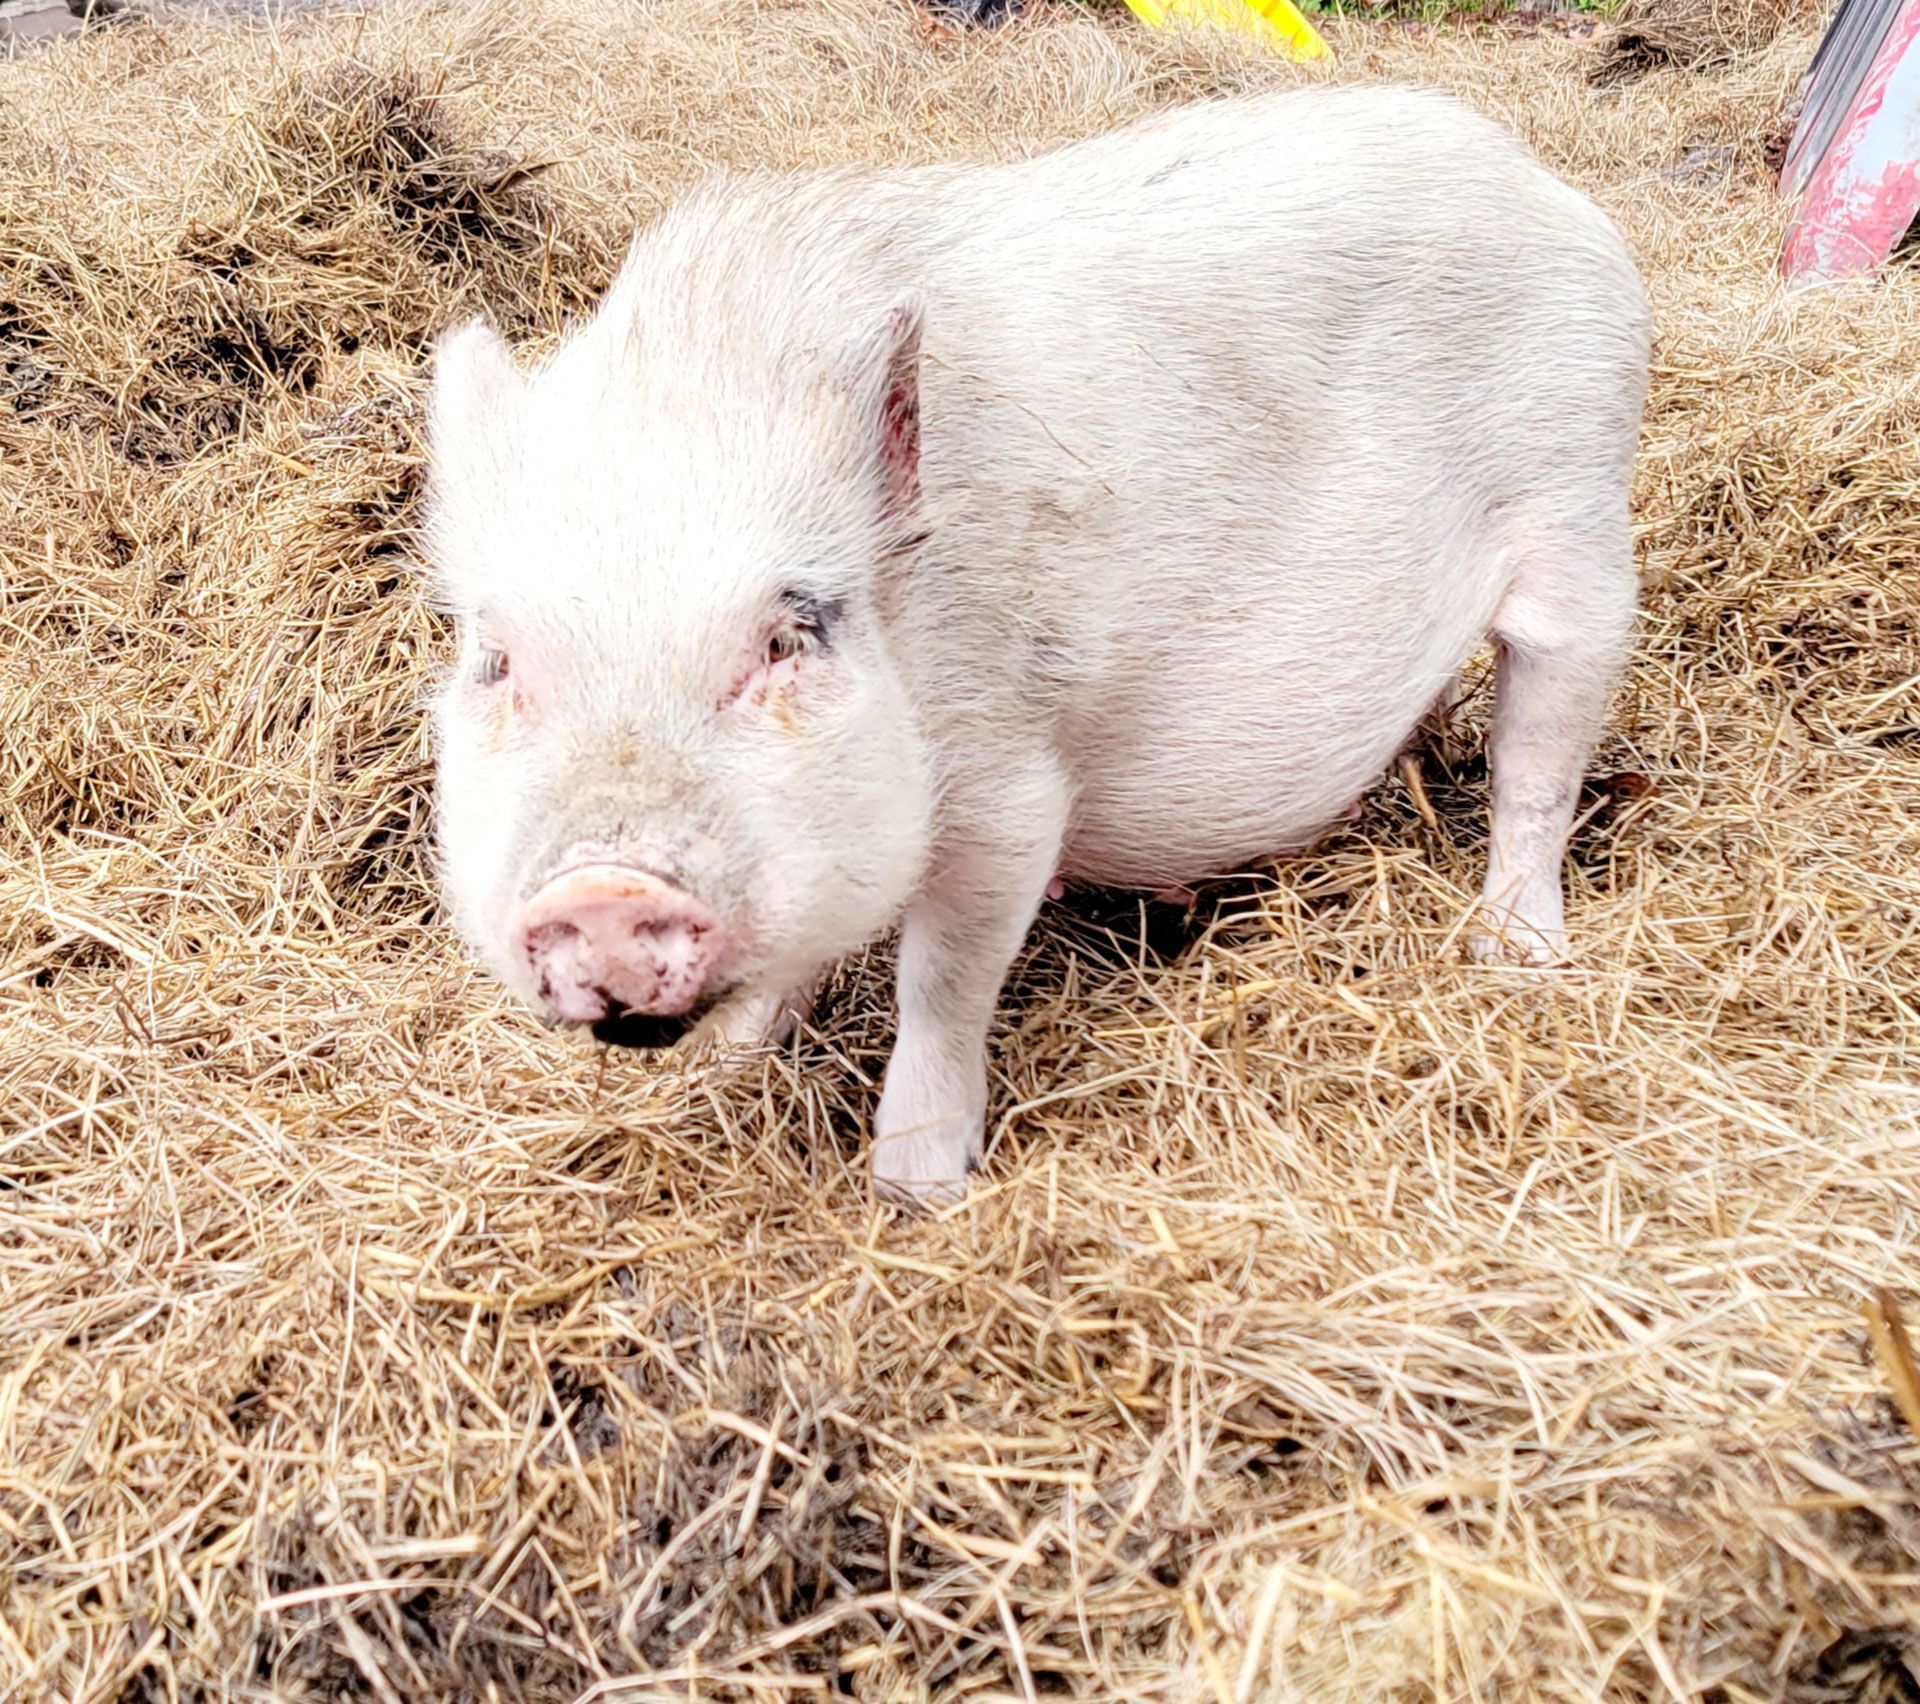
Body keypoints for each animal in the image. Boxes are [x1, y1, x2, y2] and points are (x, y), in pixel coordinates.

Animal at [423, 84, 1650, 1202]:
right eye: (498, 660)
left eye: (787, 636)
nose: (602, 891)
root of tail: (1528, 171)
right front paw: (727, 1070)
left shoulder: (1007, 773)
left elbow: (942, 982)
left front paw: (916, 1192)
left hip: (1581, 526)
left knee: (1536, 768)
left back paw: (1518, 958)